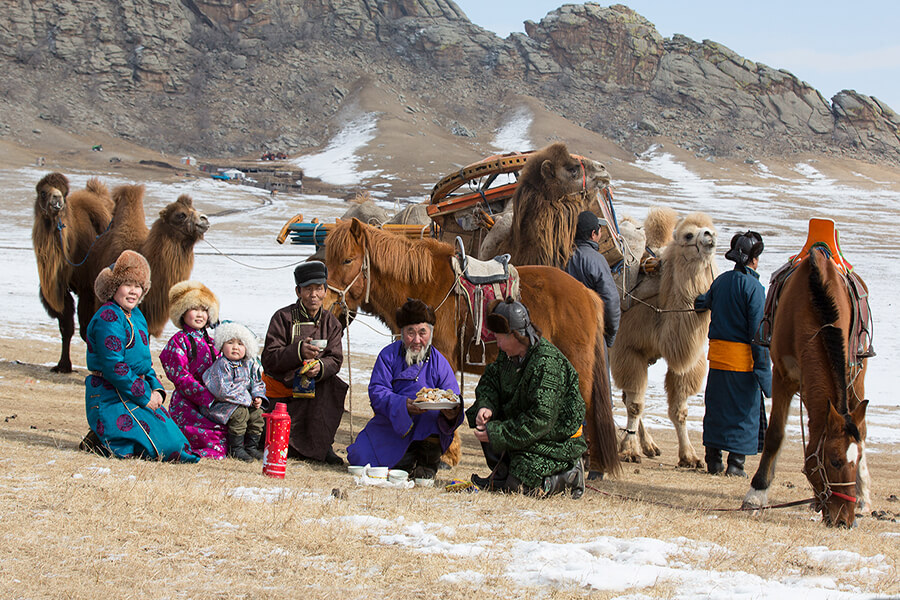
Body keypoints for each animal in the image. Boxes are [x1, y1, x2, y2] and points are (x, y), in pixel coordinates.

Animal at [31, 171, 113, 372]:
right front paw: (62, 366)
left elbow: (86, 328)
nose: (57, 198)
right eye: (43, 192)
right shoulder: (61, 289)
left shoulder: (87, 288)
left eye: (64, 192)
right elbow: (66, 327)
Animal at [326, 217, 624, 478]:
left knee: (586, 410)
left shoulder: (443, 356)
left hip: (578, 367)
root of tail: (587, 293)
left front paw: (446, 457)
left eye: (347, 260)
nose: (327, 303)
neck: (423, 284)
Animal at [612, 209, 716, 466]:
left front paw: (690, 457)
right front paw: (629, 450)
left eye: (713, 230)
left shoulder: (686, 361)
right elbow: (635, 405)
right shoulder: (628, 349)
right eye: (688, 235)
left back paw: (650, 446)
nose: (709, 237)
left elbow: (680, 410)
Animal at [740, 246, 868, 528]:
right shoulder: (782, 376)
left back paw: (863, 497)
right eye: (834, 461)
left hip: (859, 376)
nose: (845, 520)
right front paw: (756, 495)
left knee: (862, 424)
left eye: (856, 459)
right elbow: (775, 434)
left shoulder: (846, 373)